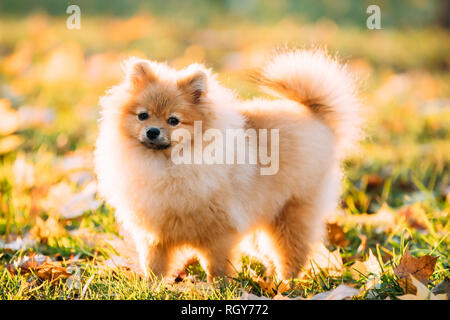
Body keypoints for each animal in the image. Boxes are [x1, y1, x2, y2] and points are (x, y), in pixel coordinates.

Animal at [95, 48, 362, 282]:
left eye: (173, 120)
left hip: (291, 214)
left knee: (293, 254)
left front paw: (218, 287)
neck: (166, 165)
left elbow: (217, 266)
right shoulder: (155, 236)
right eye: (143, 115)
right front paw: (151, 286)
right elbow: (154, 266)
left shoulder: (220, 233)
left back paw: (285, 284)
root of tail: (316, 115)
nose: (152, 131)